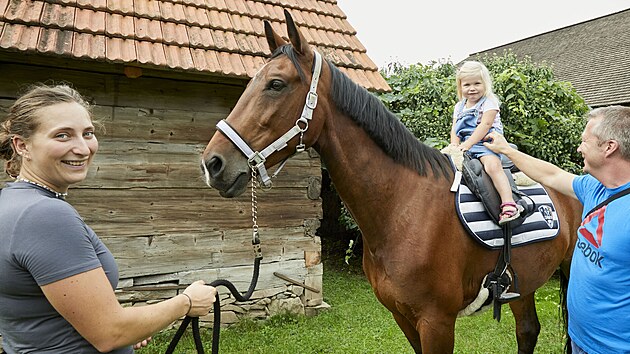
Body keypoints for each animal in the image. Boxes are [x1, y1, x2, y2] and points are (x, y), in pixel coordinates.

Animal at [201, 11, 584, 354]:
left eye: (276, 84)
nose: (213, 163)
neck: (402, 207)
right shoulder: (403, 318)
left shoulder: (436, 322)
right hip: (524, 283)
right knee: (527, 331)